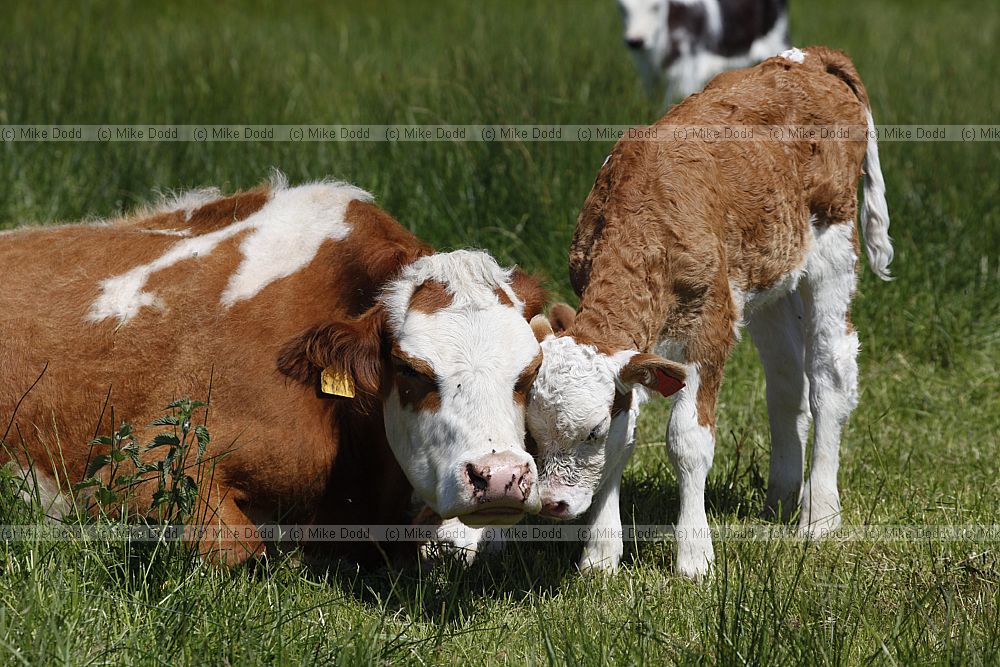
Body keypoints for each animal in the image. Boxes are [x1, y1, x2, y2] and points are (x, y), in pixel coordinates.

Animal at [526, 47, 893, 578]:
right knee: (787, 381)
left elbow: (687, 441)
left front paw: (694, 558)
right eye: (530, 432)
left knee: (830, 375)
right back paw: (780, 501)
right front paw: (599, 556)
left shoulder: (710, 328)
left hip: (833, 246)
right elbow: (626, 438)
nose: (553, 504)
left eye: (591, 430)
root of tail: (809, 58)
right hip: (768, 280)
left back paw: (818, 517)